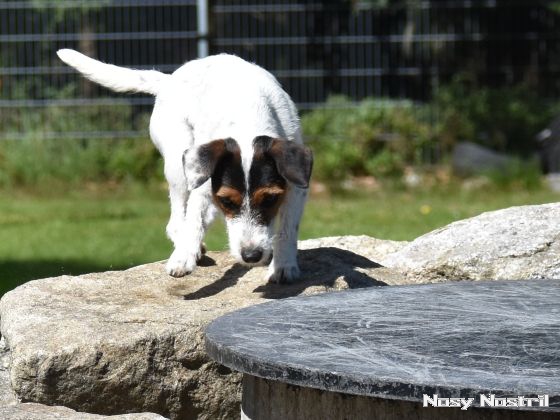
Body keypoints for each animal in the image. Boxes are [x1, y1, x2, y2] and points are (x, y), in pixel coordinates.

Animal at [57, 50, 312, 286]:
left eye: (270, 199)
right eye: (227, 201)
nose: (251, 256)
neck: (247, 119)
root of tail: (169, 79)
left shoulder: (295, 188)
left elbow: (288, 229)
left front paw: (283, 265)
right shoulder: (202, 183)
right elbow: (193, 220)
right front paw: (183, 257)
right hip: (178, 168)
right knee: (177, 220)